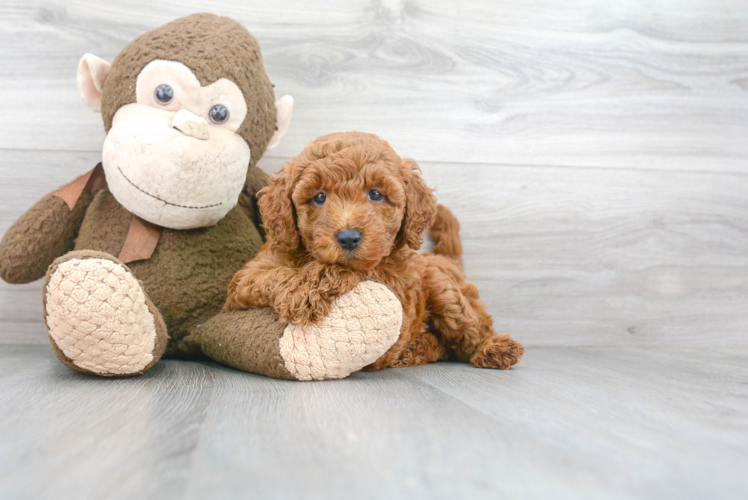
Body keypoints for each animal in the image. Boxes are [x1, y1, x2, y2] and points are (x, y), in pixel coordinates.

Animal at [225, 133, 524, 372]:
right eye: (319, 197)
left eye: (376, 194)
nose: (348, 238)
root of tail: (442, 259)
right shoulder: (243, 282)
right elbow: (269, 276)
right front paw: (301, 290)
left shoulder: (396, 284)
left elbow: (351, 269)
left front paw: (314, 285)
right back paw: (417, 348)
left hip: (444, 290)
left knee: (470, 329)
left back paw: (493, 348)